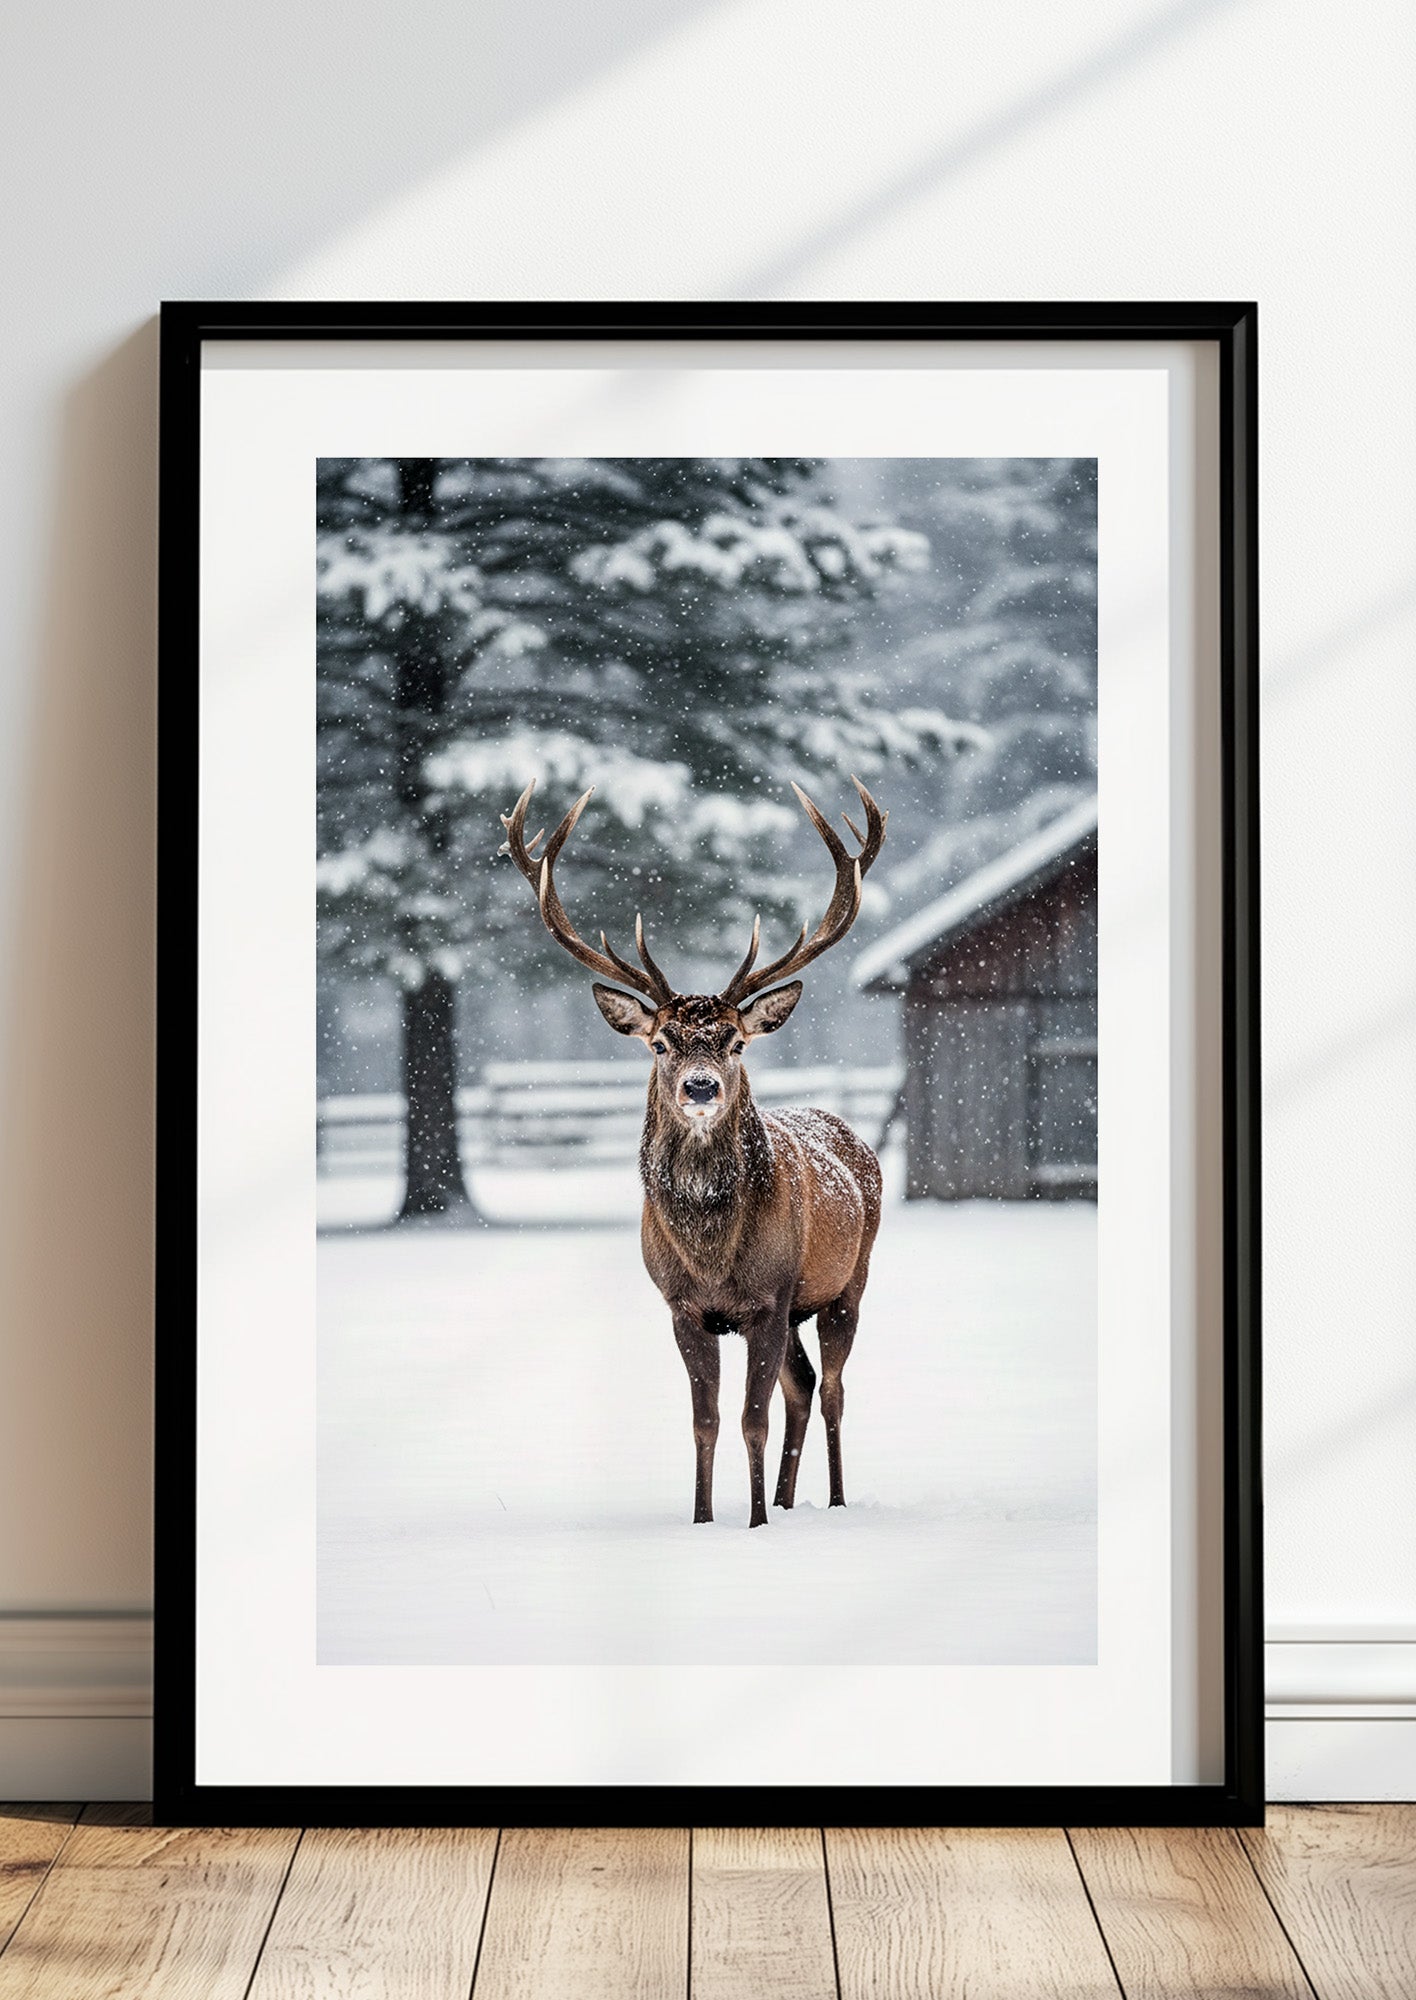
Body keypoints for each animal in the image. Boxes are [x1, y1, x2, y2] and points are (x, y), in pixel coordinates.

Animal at [500, 774, 887, 1528]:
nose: (701, 1085)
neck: (712, 1253)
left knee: (830, 1389)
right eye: (660, 1043)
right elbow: (705, 1421)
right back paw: (790, 1500)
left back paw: (830, 1501)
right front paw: (707, 1520)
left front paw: (756, 1524)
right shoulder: (683, 1306)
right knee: (802, 1386)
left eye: (735, 1041)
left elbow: (750, 1420)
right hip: (797, 1308)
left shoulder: (768, 1297)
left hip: (846, 1281)